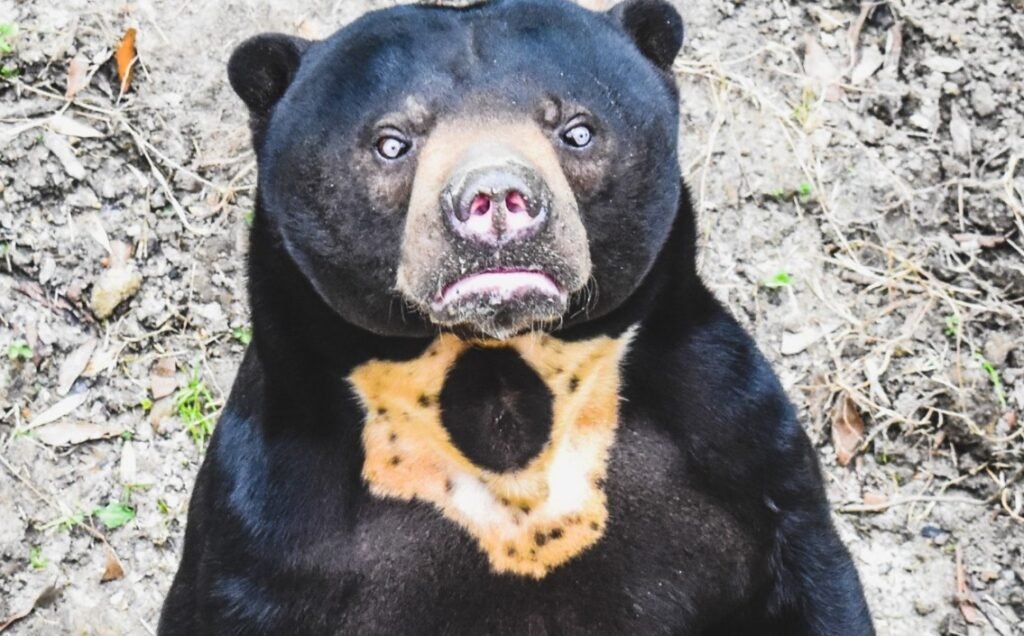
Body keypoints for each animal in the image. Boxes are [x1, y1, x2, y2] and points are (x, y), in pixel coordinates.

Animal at [159, 0, 875, 634]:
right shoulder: (273, 527)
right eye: (392, 142)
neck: (498, 374)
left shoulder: (739, 449)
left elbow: (811, 579)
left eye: (577, 131)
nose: (497, 197)